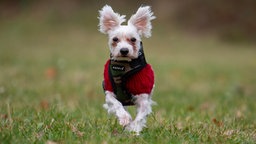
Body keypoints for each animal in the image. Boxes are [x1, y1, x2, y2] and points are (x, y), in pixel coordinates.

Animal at [98, 4, 156, 135]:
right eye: (115, 39)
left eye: (133, 39)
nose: (124, 50)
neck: (123, 66)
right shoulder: (109, 92)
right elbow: (116, 104)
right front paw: (125, 118)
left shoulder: (143, 96)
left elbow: (140, 117)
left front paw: (133, 129)